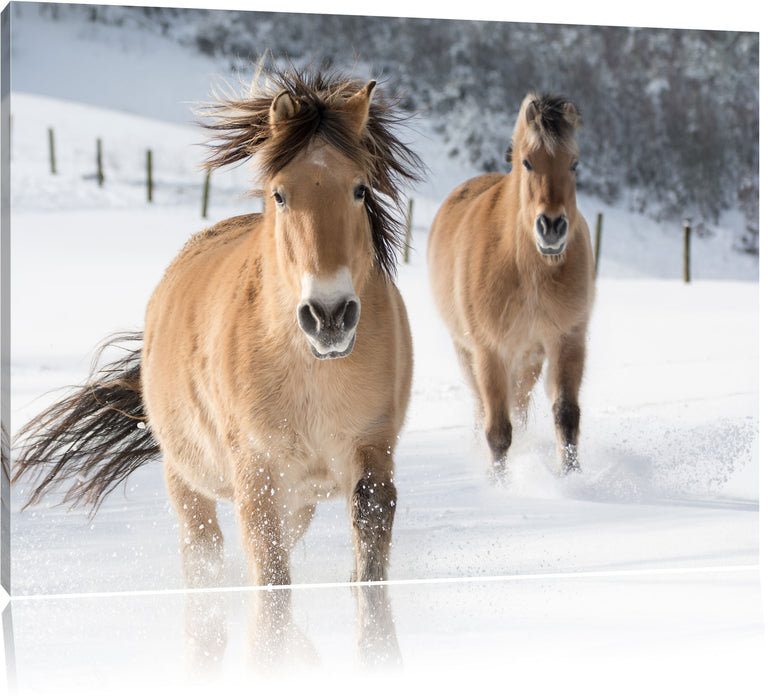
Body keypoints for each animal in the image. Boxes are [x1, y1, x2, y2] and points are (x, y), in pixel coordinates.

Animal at [12, 67, 422, 624]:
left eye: (359, 189)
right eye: (279, 194)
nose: (330, 316)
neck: (311, 373)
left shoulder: (371, 456)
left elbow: (368, 577)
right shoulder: (258, 476)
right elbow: (271, 587)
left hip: (299, 498)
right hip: (189, 483)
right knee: (203, 558)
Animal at [424, 91, 596, 476]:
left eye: (574, 164)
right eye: (528, 162)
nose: (552, 227)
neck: (527, 271)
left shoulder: (567, 340)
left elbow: (567, 415)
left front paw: (573, 478)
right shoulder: (490, 352)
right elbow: (498, 431)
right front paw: (497, 482)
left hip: (528, 359)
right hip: (468, 353)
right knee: (482, 409)